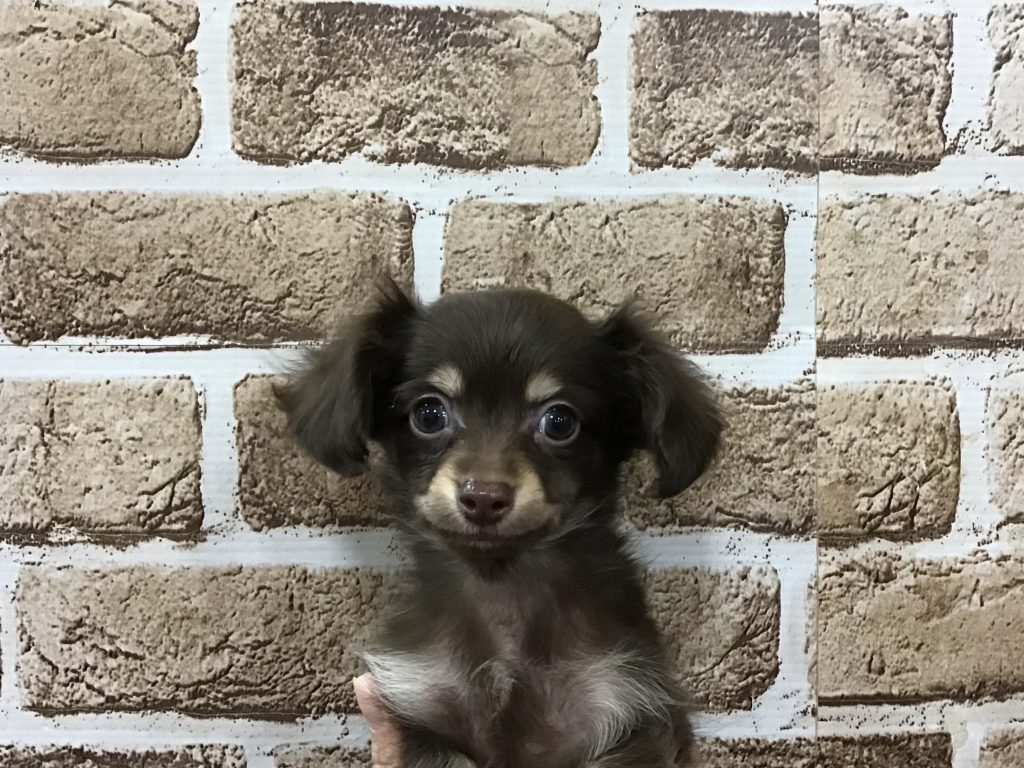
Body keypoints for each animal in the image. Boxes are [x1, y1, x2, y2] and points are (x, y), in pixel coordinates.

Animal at [277, 281, 723, 768]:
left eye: (560, 421)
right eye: (428, 414)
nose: (484, 497)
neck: (502, 586)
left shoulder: (623, 710)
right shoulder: (424, 709)